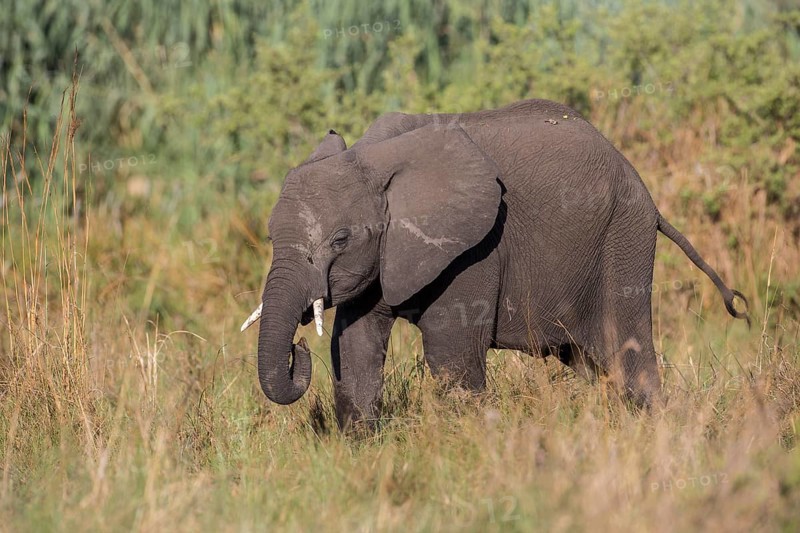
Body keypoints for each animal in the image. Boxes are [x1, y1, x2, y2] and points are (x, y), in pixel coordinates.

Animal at [241, 99, 749, 431]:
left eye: (341, 239)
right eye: (270, 237)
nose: (297, 347)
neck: (372, 157)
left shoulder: (475, 247)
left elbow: (451, 354)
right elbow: (354, 347)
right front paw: (362, 446)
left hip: (623, 237)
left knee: (626, 352)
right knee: (591, 363)